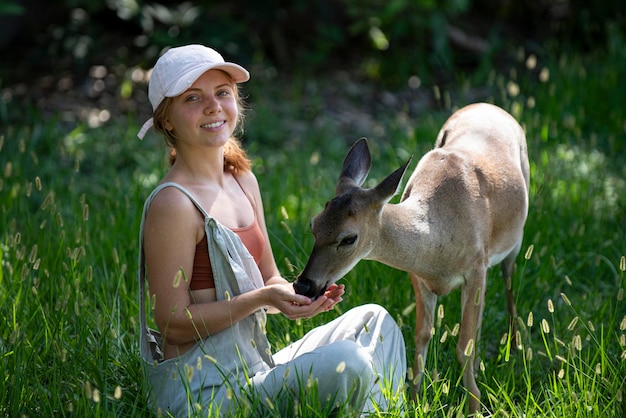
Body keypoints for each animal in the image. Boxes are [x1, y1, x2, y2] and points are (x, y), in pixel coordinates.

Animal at [292, 103, 528, 414]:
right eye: (314, 224)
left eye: (348, 238)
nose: (303, 285)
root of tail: (488, 106)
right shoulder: (417, 276)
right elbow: (422, 335)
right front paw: (416, 400)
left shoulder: (477, 266)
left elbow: (463, 345)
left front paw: (475, 406)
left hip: (514, 241)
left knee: (509, 283)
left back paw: (515, 347)